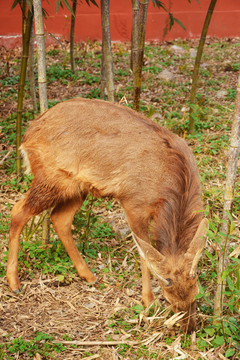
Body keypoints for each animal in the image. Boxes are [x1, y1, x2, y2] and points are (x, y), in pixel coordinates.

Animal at [6, 97, 207, 334]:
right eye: (167, 299)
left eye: (196, 294)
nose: (189, 329)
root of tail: (28, 134)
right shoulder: (133, 203)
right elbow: (144, 254)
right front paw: (148, 302)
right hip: (50, 177)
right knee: (18, 210)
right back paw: (14, 282)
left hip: (77, 187)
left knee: (59, 218)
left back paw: (88, 275)